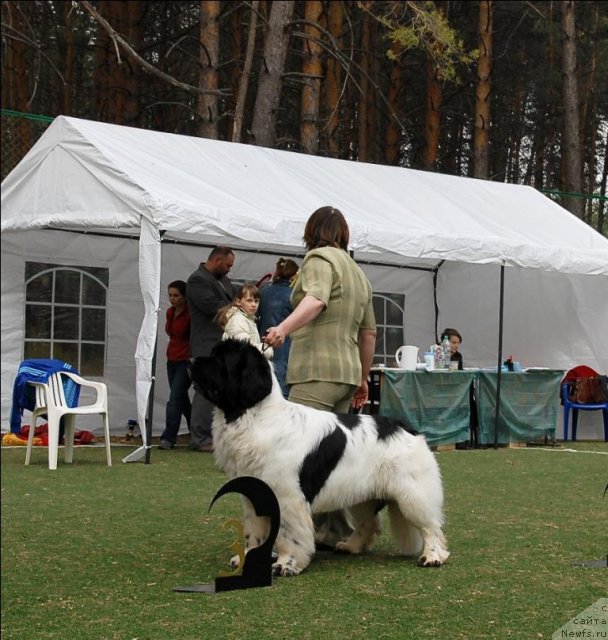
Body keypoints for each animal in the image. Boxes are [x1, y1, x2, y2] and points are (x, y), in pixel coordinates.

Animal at [191, 340, 452, 576]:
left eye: (219, 360)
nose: (192, 360)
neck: (255, 416)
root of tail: (406, 427)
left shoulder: (288, 497)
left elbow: (289, 534)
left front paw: (285, 564)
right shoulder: (253, 493)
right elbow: (253, 531)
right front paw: (247, 558)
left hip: (414, 494)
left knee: (431, 527)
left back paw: (433, 557)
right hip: (362, 494)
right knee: (369, 523)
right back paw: (351, 546)